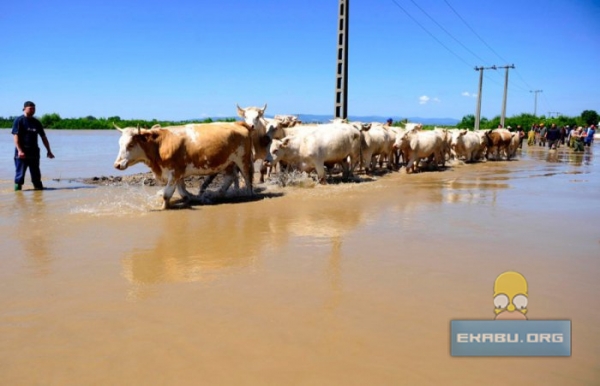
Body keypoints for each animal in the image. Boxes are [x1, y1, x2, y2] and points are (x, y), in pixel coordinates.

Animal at [114, 123, 253, 208]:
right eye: (119, 143)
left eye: (131, 144)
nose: (117, 164)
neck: (160, 144)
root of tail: (237, 123)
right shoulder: (178, 174)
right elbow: (182, 192)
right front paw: (192, 197)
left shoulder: (174, 172)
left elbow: (166, 194)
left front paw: (163, 208)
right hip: (227, 163)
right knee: (230, 177)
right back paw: (216, 194)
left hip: (243, 160)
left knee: (247, 178)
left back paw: (248, 195)